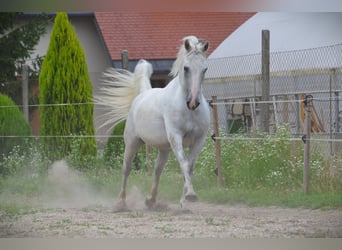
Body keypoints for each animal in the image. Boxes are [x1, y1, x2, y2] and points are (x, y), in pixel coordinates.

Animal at [97, 35, 211, 209]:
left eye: (205, 69)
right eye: (186, 68)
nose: (193, 102)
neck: (189, 111)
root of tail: (142, 95)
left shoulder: (199, 140)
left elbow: (189, 168)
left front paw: (184, 203)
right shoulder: (176, 136)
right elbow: (184, 164)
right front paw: (191, 195)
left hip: (164, 149)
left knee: (157, 170)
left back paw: (150, 200)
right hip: (132, 142)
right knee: (126, 168)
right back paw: (121, 202)